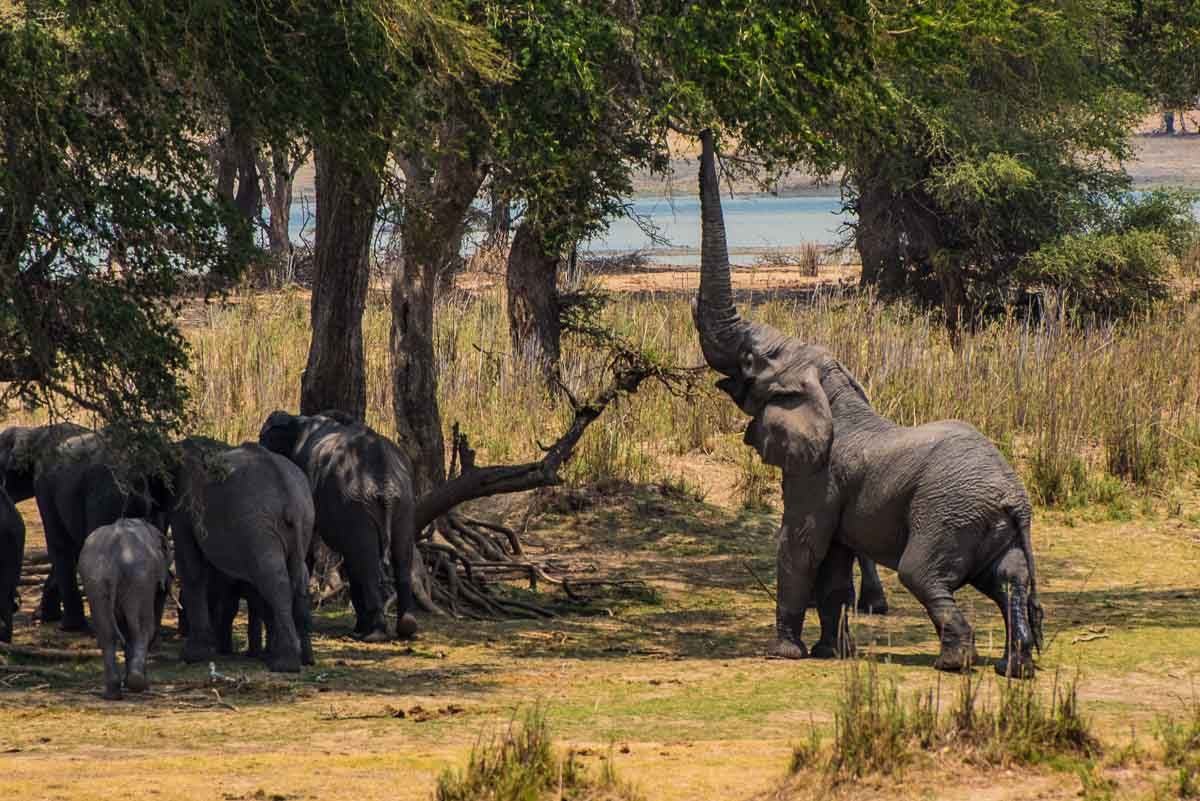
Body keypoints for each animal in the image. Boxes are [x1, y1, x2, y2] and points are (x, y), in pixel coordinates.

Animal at [78, 520, 171, 700]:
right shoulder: (149, 581)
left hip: (95, 581)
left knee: (107, 633)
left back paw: (113, 693)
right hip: (138, 580)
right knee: (141, 629)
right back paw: (138, 683)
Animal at [171, 441, 319, 671]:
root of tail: (290, 498)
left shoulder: (185, 505)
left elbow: (191, 566)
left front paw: (193, 655)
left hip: (257, 525)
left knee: (274, 581)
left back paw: (283, 663)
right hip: (304, 521)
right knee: (297, 580)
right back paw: (302, 659)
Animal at [696, 130, 1041, 676]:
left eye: (753, 359)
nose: (707, 132)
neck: (835, 393)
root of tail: (1016, 498)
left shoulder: (816, 474)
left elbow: (801, 547)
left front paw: (785, 653)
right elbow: (833, 564)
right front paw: (830, 653)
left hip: (947, 515)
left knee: (923, 574)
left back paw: (954, 662)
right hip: (993, 528)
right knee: (1010, 582)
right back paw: (1014, 668)